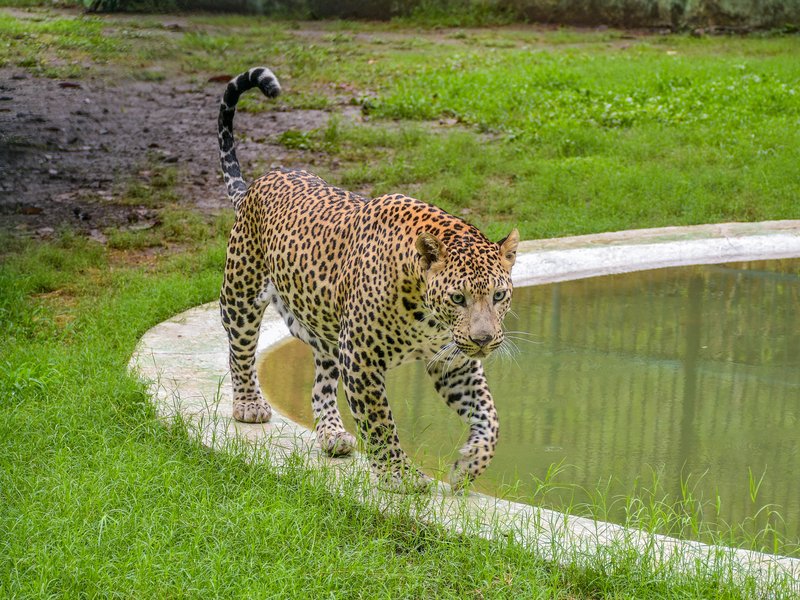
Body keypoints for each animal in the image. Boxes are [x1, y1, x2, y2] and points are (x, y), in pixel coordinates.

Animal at [218, 67, 519, 492]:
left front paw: (468, 466)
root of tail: (258, 184)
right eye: (458, 298)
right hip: (241, 292)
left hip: (325, 327)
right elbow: (380, 422)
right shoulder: (361, 357)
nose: (483, 339)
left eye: (498, 295)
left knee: (321, 384)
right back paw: (248, 405)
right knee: (240, 349)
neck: (426, 313)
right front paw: (400, 475)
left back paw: (331, 434)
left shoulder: (453, 361)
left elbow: (490, 416)